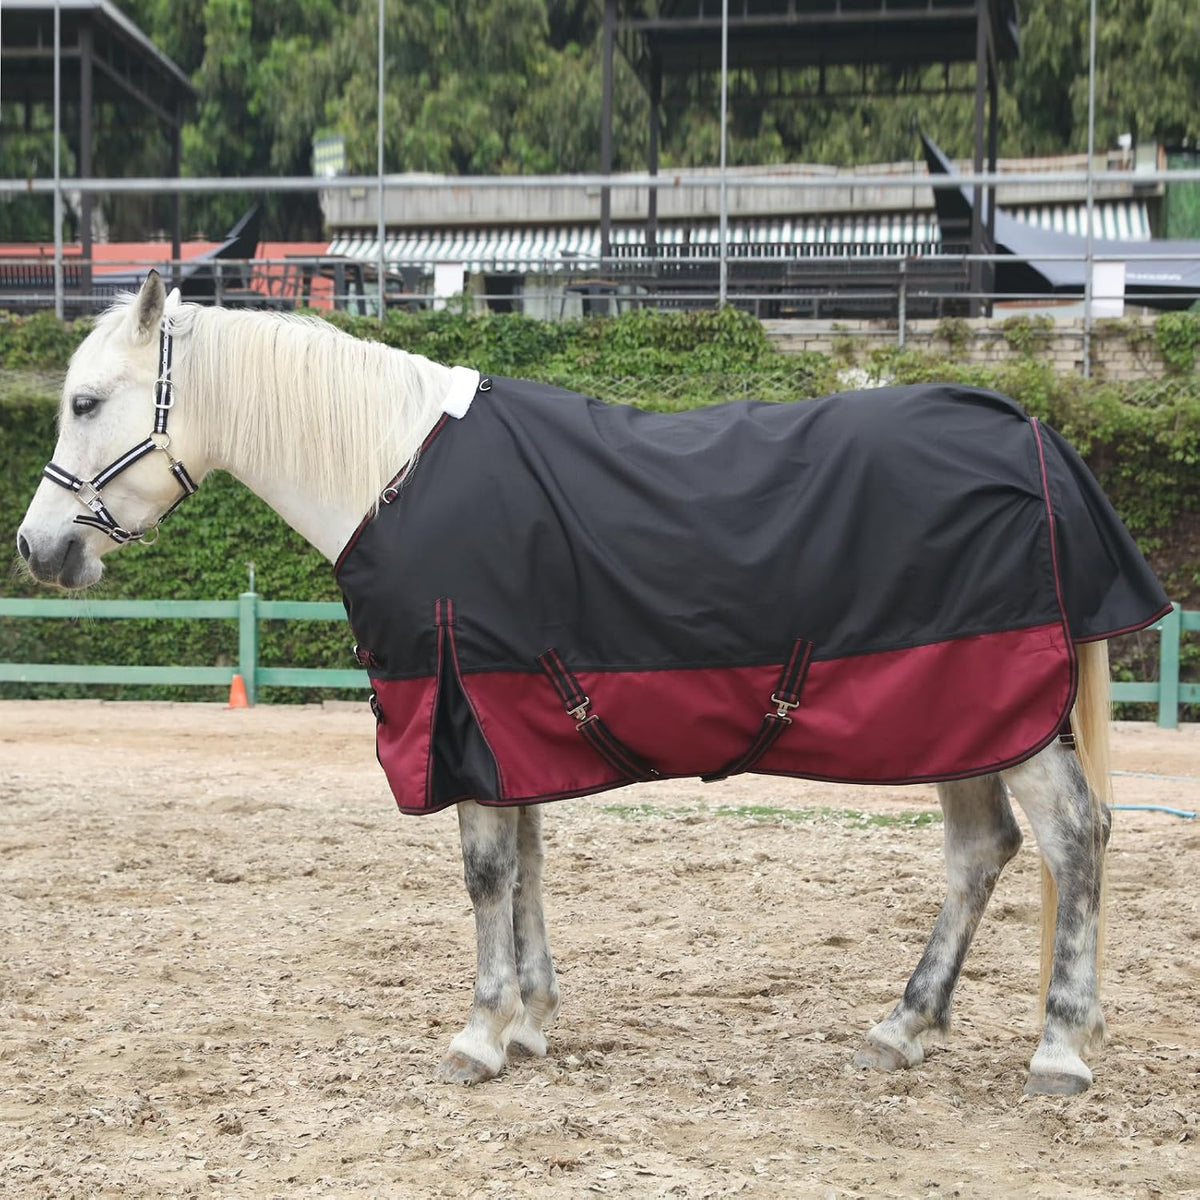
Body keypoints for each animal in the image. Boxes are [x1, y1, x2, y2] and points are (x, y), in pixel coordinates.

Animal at [17, 272, 1169, 1096]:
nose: (36, 548)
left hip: (1008, 722)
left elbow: (487, 873)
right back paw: (902, 1028)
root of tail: (1033, 436)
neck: (391, 472)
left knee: (1075, 838)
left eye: (86, 401)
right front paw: (529, 1020)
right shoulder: (501, 719)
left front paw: (480, 1034)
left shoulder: (460, 709)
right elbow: (525, 865)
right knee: (982, 852)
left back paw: (1059, 1050)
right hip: (962, 720)